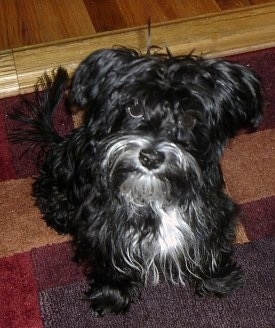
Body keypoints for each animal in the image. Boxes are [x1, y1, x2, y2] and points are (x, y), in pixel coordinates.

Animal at [11, 46, 266, 316]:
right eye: (134, 108)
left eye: (188, 119)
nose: (151, 157)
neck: (153, 194)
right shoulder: (104, 228)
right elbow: (110, 264)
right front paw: (111, 297)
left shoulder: (212, 212)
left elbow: (212, 246)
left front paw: (218, 281)